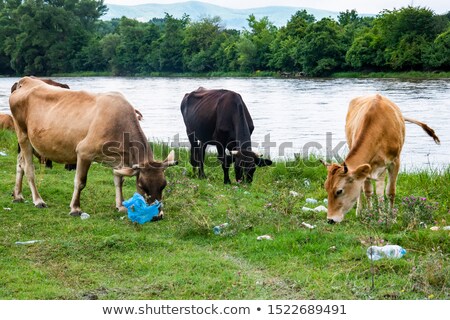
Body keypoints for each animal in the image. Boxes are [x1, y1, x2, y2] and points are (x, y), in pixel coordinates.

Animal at [9, 76, 177, 216]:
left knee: (20, 163)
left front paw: (120, 205)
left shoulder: (119, 159)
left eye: (163, 185)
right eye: (142, 186)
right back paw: (38, 200)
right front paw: (75, 208)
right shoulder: (84, 152)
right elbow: (80, 182)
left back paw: (18, 195)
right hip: (23, 134)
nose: (157, 216)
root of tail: (26, 80)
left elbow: (119, 180)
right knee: (28, 168)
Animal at [322, 94, 442, 224]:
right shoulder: (367, 165)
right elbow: (368, 191)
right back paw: (360, 211)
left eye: (339, 191)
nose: (330, 219)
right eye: (326, 188)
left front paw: (389, 217)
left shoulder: (394, 162)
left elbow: (389, 191)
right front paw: (370, 215)